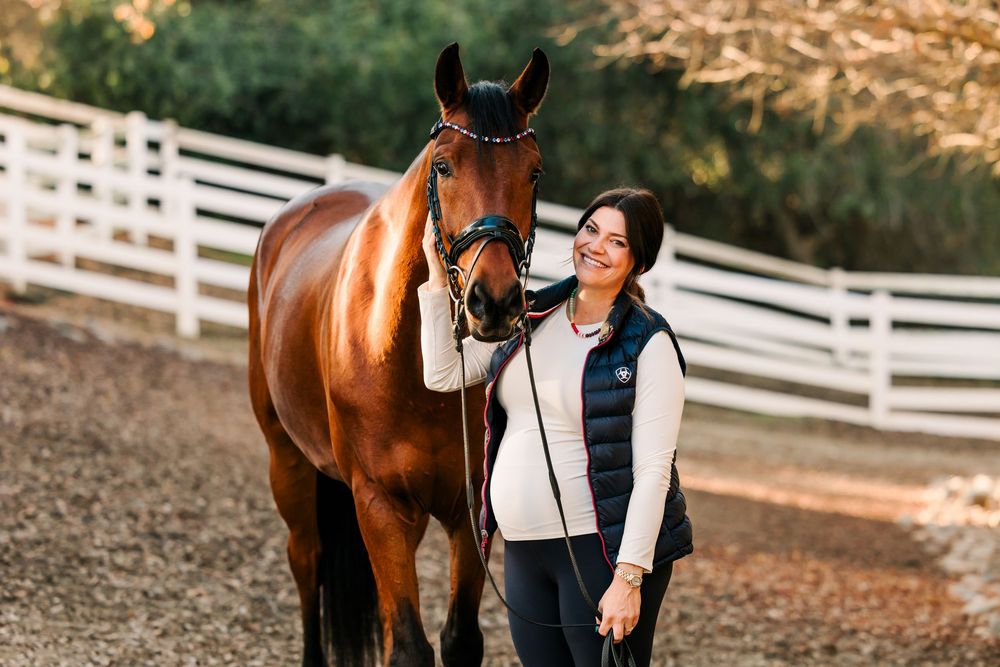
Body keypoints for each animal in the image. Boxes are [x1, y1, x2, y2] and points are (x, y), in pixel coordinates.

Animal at [247, 43, 549, 667]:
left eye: (534, 172)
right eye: (444, 166)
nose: (494, 301)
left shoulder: (468, 509)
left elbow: (459, 639)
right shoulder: (380, 504)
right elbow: (408, 645)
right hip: (287, 459)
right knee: (306, 561)